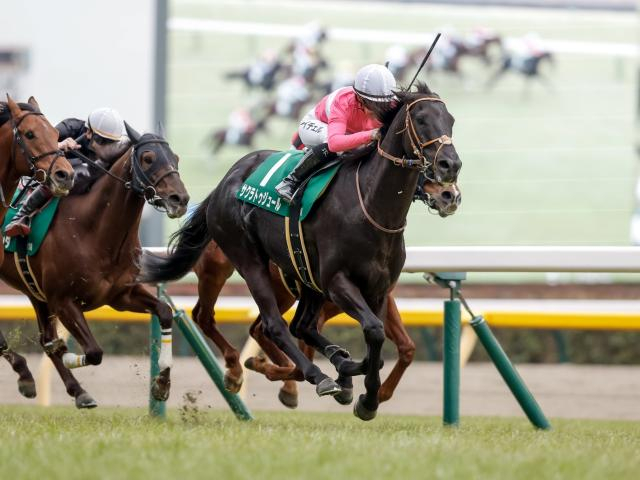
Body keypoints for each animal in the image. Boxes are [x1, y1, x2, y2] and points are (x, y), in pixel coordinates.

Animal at [0, 124, 189, 408]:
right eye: (148, 158)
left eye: (175, 158)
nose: (180, 199)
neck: (92, 230)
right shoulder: (64, 301)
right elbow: (93, 351)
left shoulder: (122, 295)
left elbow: (165, 312)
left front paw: (162, 384)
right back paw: (26, 373)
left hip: (35, 291)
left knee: (45, 336)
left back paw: (70, 388)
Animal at [139, 82, 460, 420]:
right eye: (421, 119)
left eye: (450, 120)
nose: (450, 173)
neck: (371, 207)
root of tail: (225, 181)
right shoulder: (338, 282)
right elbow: (373, 330)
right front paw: (361, 392)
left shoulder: (378, 289)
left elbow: (382, 341)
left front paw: (367, 394)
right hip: (247, 261)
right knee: (269, 325)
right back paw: (306, 375)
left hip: (305, 277)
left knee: (295, 326)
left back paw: (336, 365)